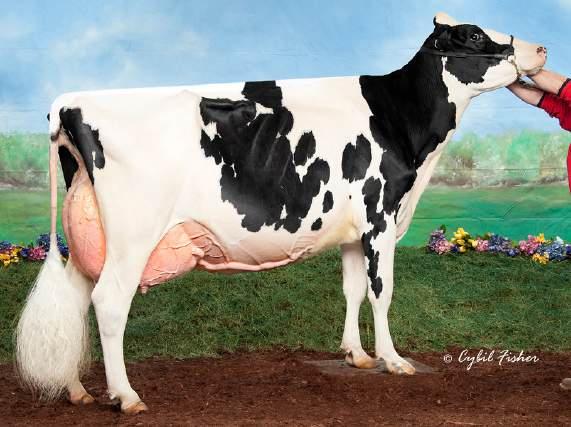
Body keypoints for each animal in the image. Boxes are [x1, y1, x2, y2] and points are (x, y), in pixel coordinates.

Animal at [16, 13, 546, 414]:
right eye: (474, 35)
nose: (540, 49)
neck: (399, 118)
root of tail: (71, 102)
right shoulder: (379, 216)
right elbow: (382, 293)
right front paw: (393, 360)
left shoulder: (353, 230)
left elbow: (352, 289)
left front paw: (356, 355)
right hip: (132, 235)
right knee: (108, 303)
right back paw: (125, 396)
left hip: (91, 236)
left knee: (78, 299)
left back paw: (77, 390)